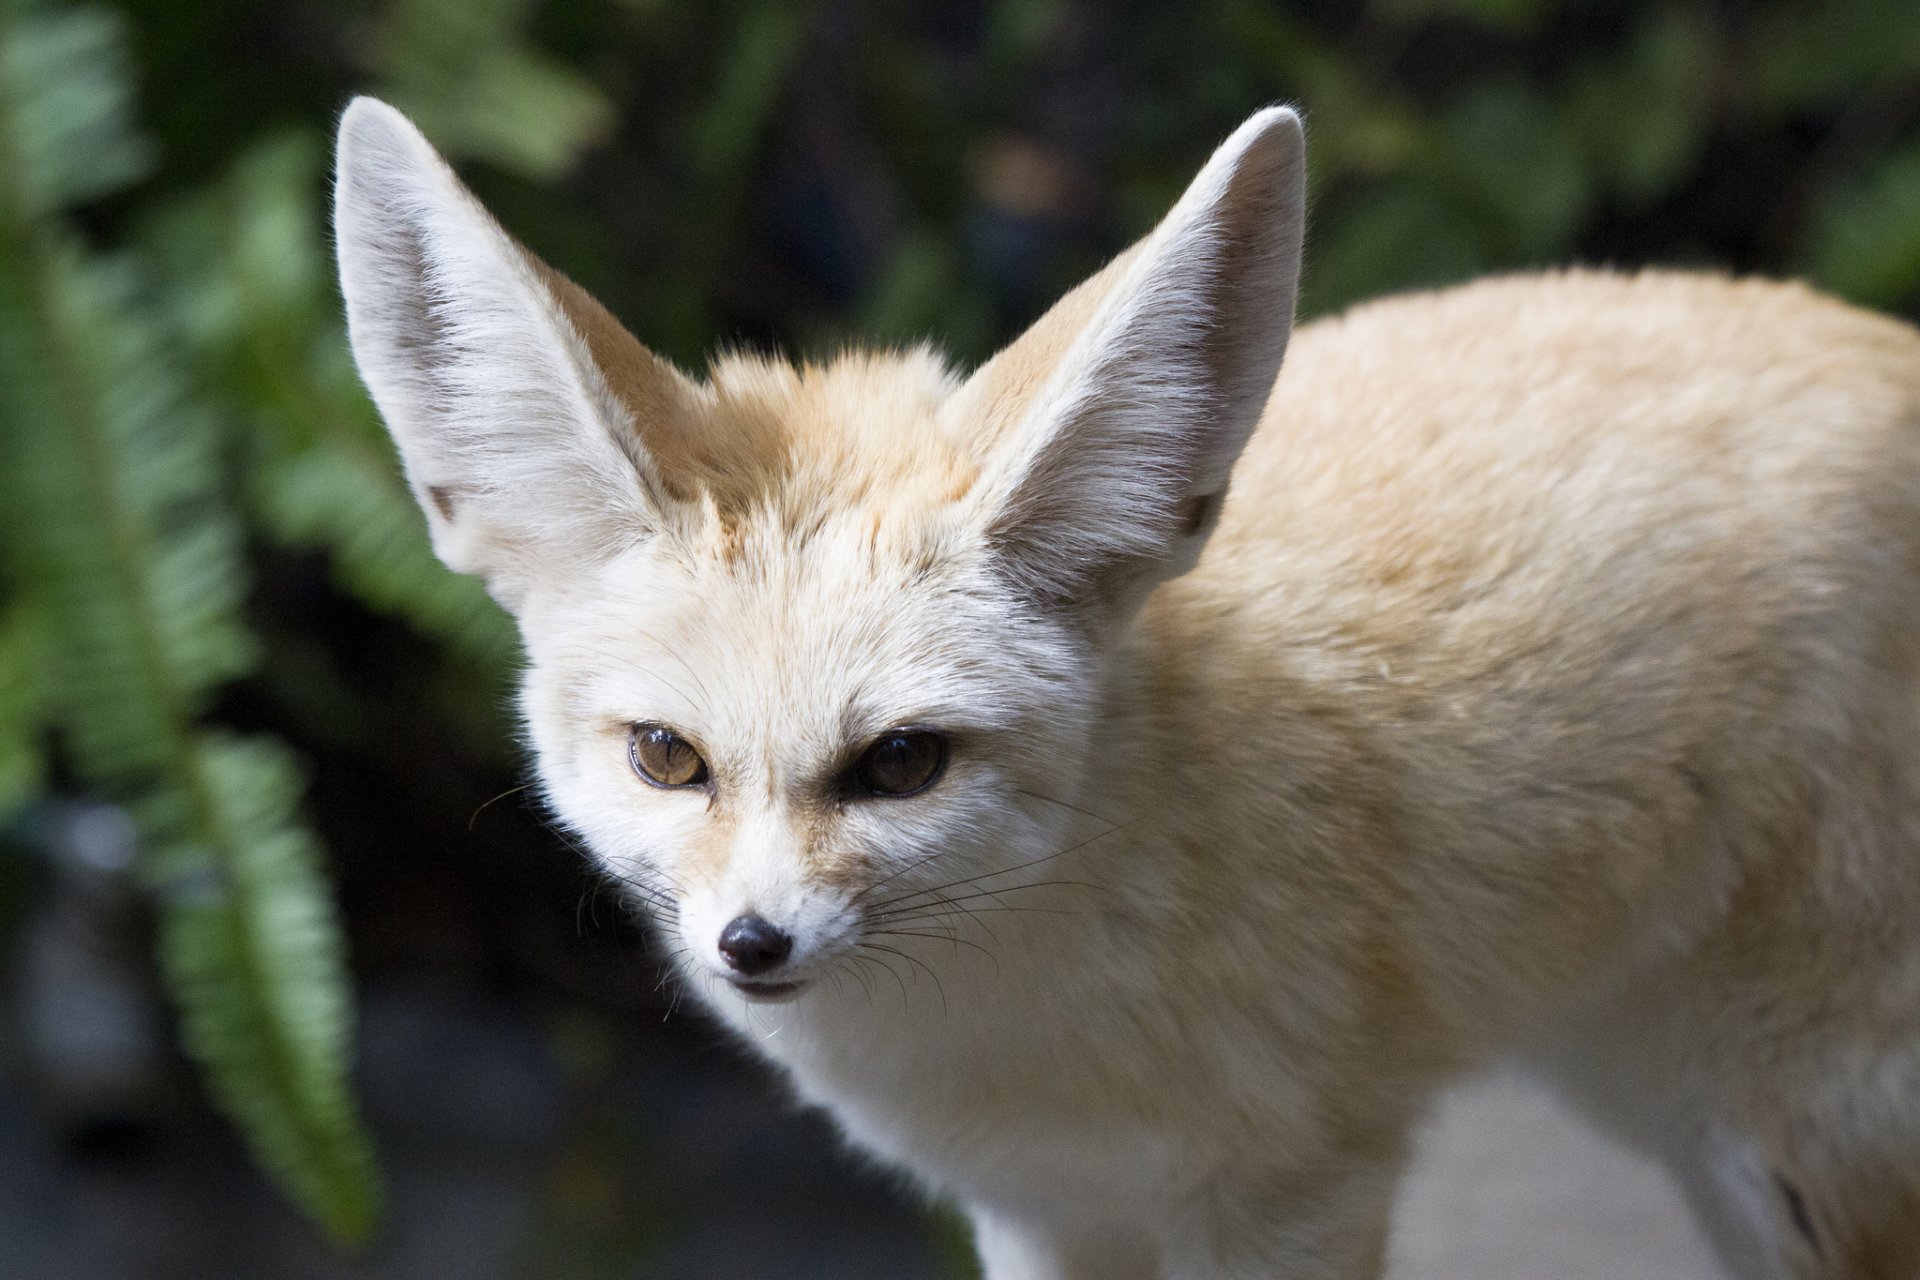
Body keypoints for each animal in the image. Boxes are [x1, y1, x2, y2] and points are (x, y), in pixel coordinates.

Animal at [333, 96, 1920, 1279]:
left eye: (901, 763)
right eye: (668, 756)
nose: (752, 945)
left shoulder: (1295, 1195)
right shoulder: (1043, 1207)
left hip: (1797, 1143)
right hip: (1674, 1110)